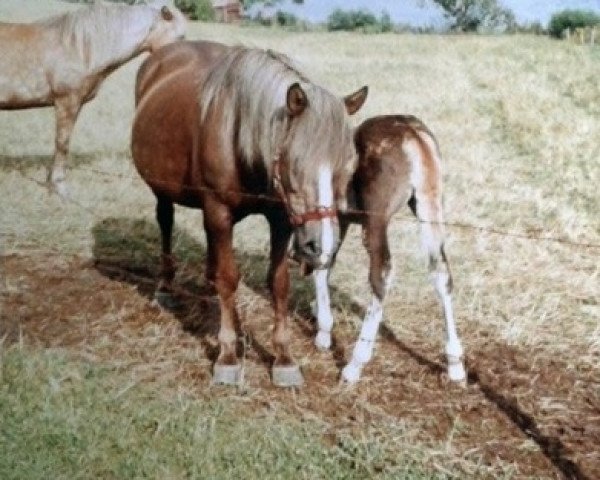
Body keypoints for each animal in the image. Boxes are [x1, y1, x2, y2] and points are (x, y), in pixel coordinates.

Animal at [131, 40, 366, 386]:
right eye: (295, 164)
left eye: (348, 166)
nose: (320, 246)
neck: (240, 139)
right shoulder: (219, 209)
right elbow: (230, 278)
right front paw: (228, 355)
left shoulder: (280, 219)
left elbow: (278, 283)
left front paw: (284, 357)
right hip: (163, 191)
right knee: (165, 222)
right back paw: (165, 287)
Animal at [312, 116, 466, 386]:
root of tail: (415, 137)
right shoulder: (342, 218)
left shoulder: (330, 214)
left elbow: (322, 261)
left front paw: (323, 333)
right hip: (428, 208)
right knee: (441, 271)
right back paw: (455, 365)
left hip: (376, 220)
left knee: (382, 272)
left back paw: (354, 365)